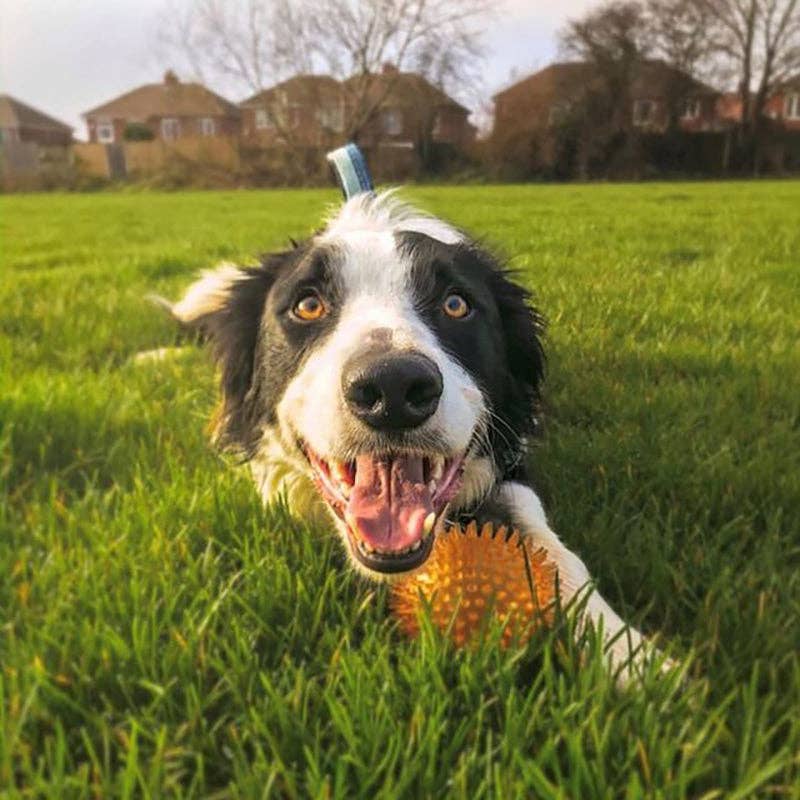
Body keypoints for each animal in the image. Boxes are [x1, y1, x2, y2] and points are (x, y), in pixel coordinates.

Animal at [164, 192, 664, 676]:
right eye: (308, 305)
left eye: (456, 304)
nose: (393, 388)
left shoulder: (511, 461)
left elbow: (553, 549)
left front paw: (635, 658)